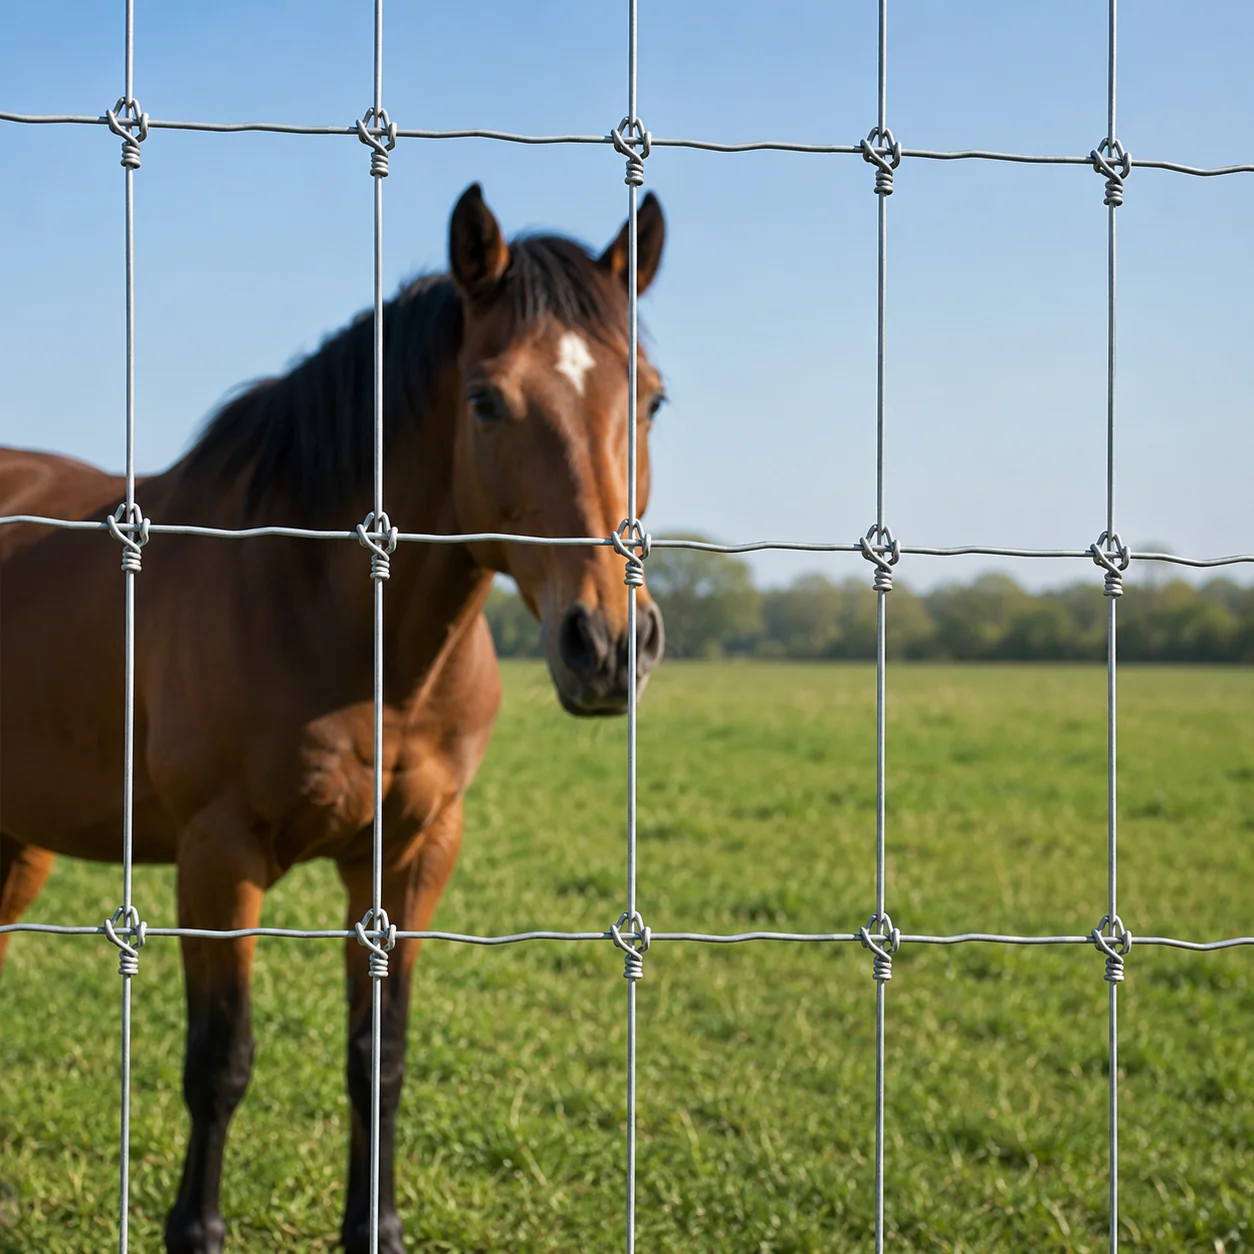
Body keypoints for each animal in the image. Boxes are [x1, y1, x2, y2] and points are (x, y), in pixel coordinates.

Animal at [0, 183, 667, 1254]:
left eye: (648, 398)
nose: (606, 644)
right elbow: (220, 1063)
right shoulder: (218, 859)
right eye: (486, 399)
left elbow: (378, 1058)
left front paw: (375, 1227)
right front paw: (195, 1229)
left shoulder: (410, 855)